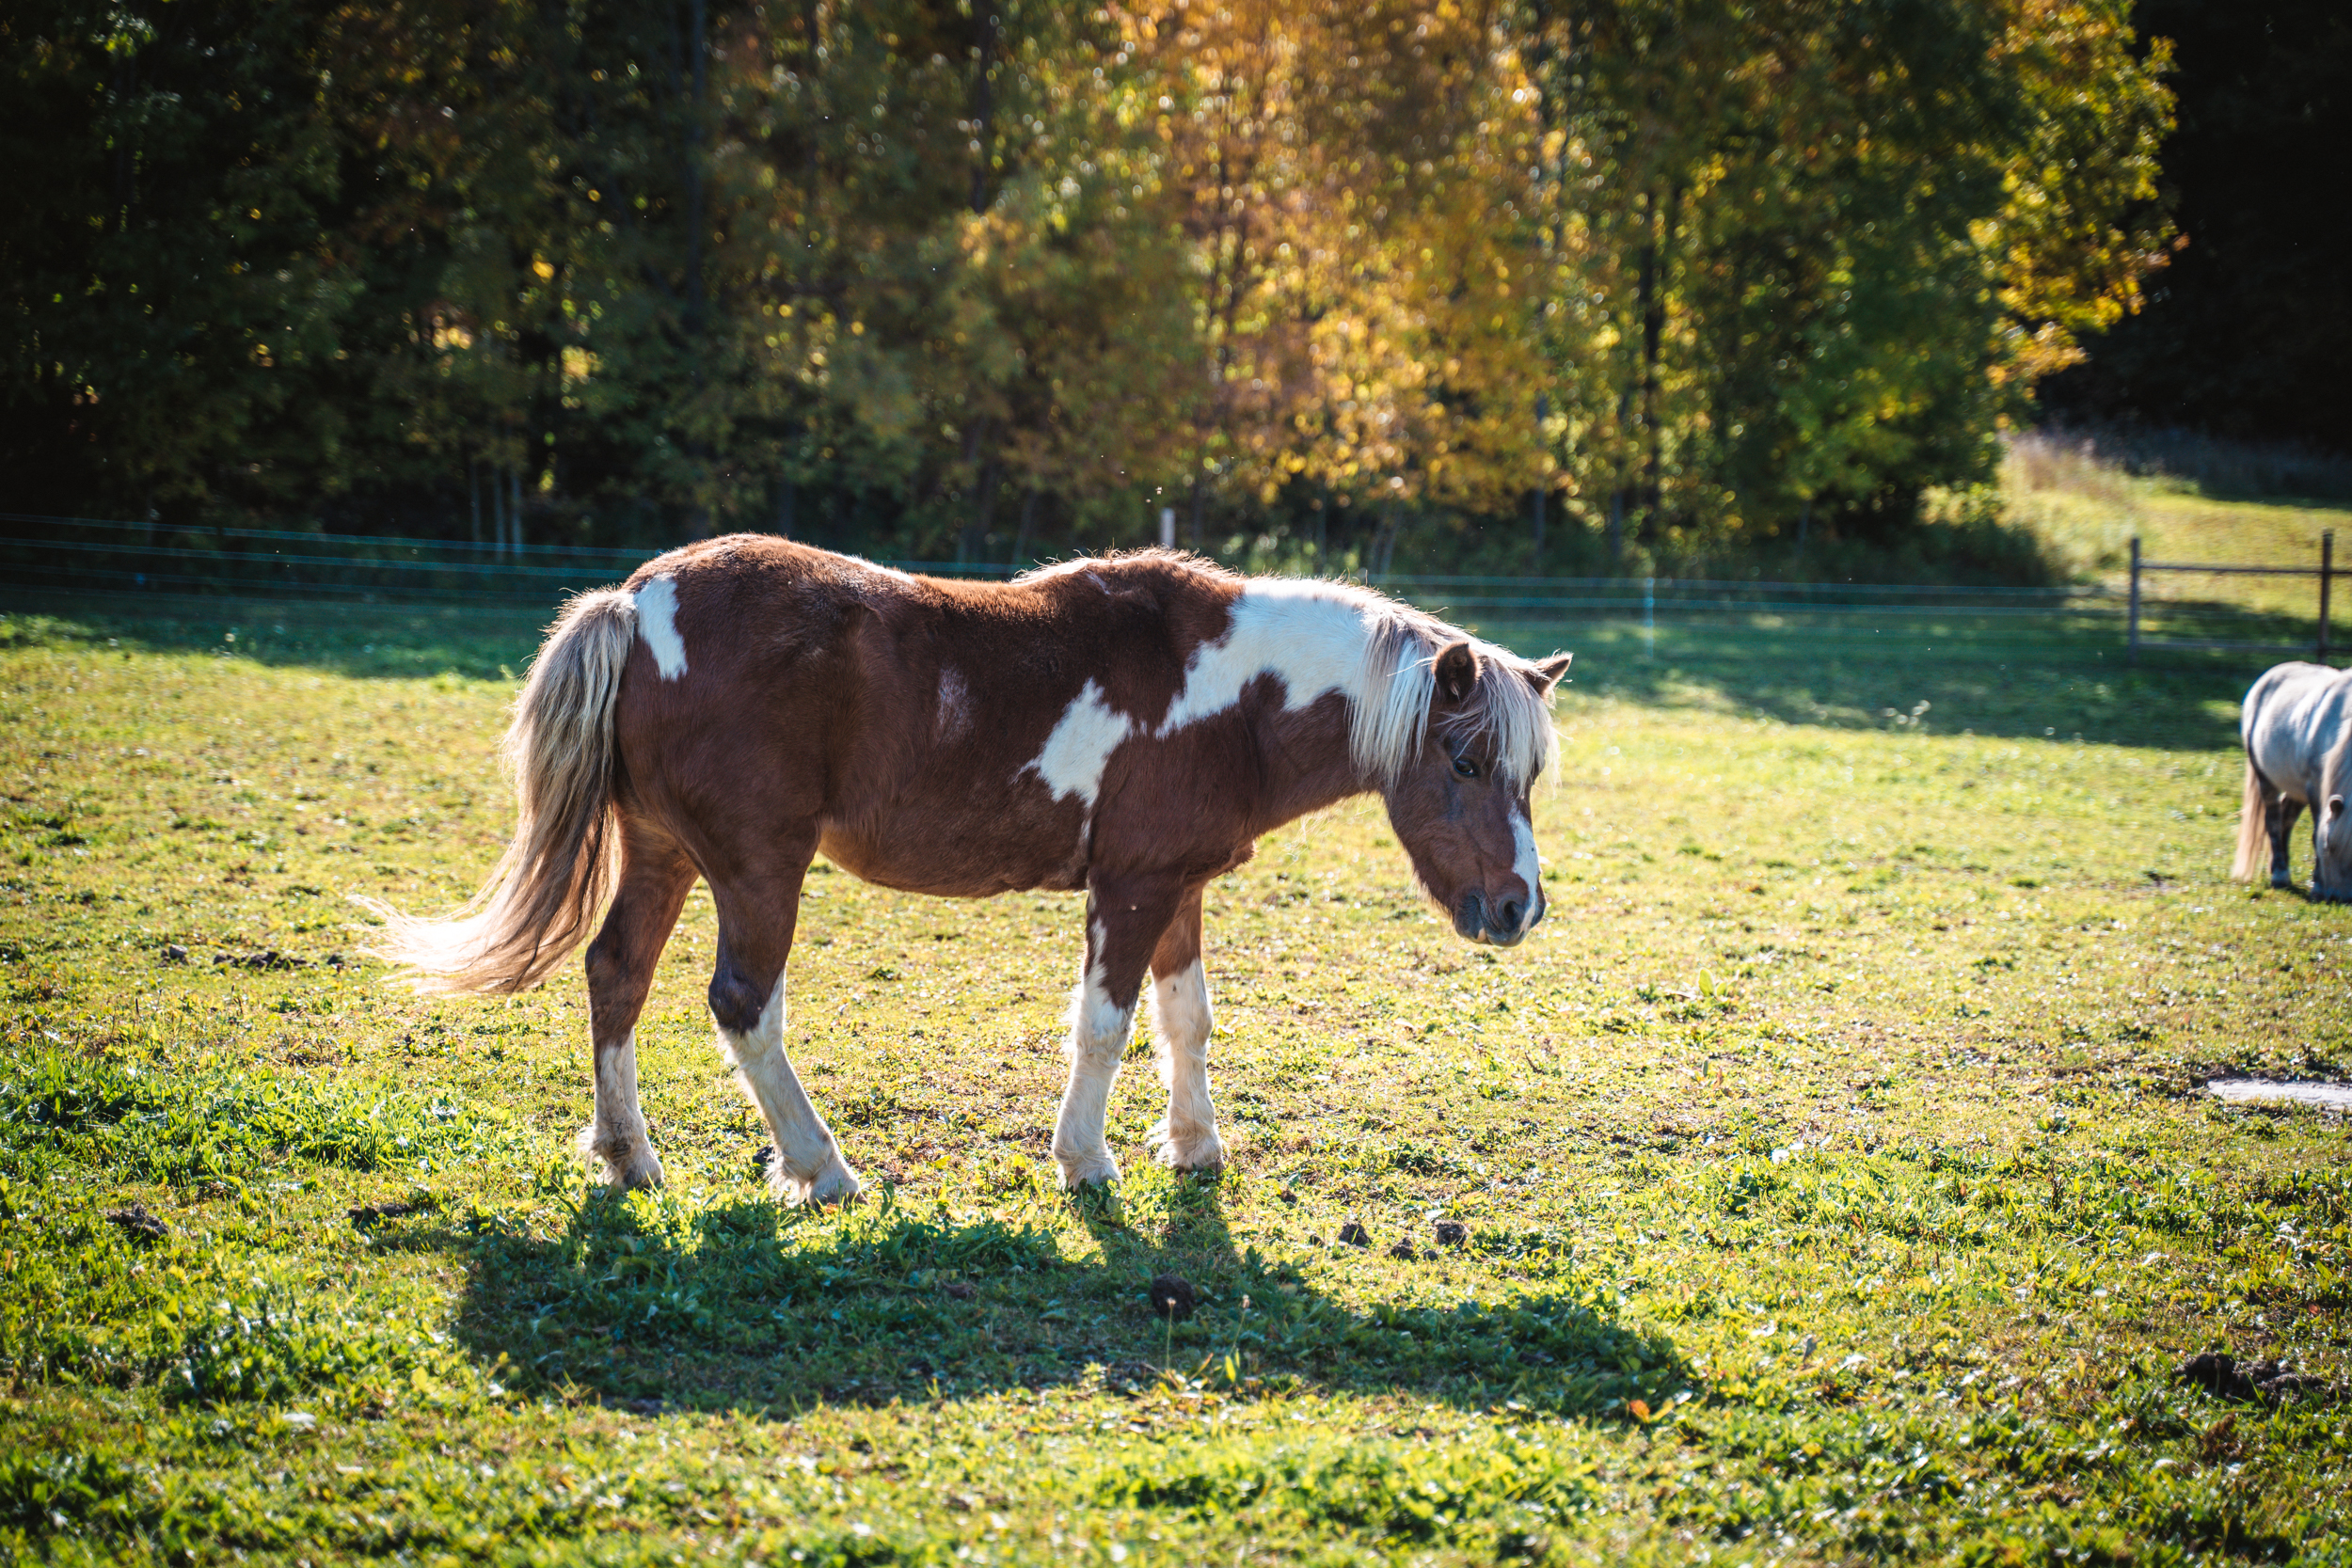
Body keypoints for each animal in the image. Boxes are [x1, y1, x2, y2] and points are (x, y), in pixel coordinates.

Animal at [358, 540, 1571, 1203]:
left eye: (1529, 772)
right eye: (1466, 758)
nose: (1519, 907)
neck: (1232, 698)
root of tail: (636, 600)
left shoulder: (1177, 885)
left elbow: (1186, 1019)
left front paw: (1194, 1144)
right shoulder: (1128, 889)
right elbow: (1104, 1027)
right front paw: (1084, 1159)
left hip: (662, 852)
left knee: (617, 975)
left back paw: (630, 1157)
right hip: (757, 869)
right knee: (744, 1005)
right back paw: (821, 1166)